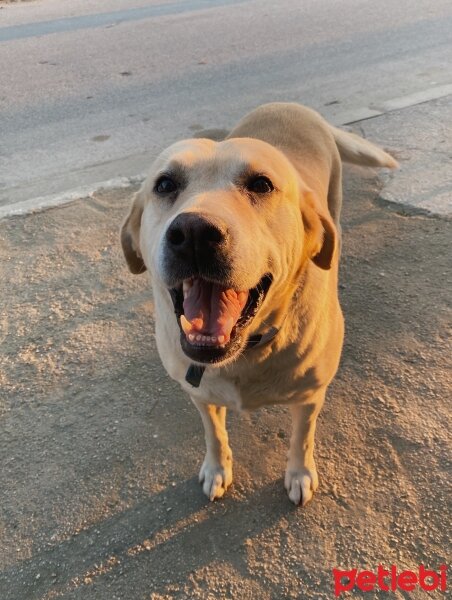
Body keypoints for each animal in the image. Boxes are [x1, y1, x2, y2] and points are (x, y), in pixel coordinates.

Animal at [119, 103, 396, 506]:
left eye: (261, 185)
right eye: (165, 184)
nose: (194, 233)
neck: (246, 352)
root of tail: (291, 105)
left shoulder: (311, 397)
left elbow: (303, 437)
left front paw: (299, 473)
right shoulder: (199, 394)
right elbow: (214, 433)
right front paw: (217, 468)